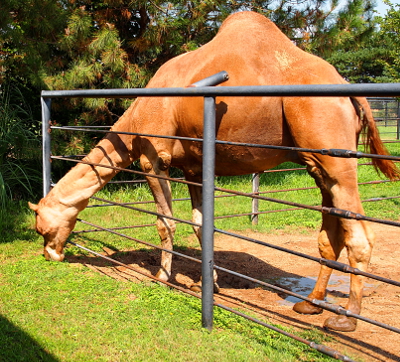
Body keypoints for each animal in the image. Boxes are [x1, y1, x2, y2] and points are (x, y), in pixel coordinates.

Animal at [28, 11, 396, 332]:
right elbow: (200, 224)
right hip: (317, 160)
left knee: (360, 232)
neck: (136, 118)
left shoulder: (154, 158)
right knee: (330, 230)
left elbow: (165, 222)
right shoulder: (194, 166)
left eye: (41, 227)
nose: (51, 254)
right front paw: (210, 285)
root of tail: (353, 94)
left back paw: (346, 319)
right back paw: (310, 304)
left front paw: (162, 279)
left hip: (330, 142)